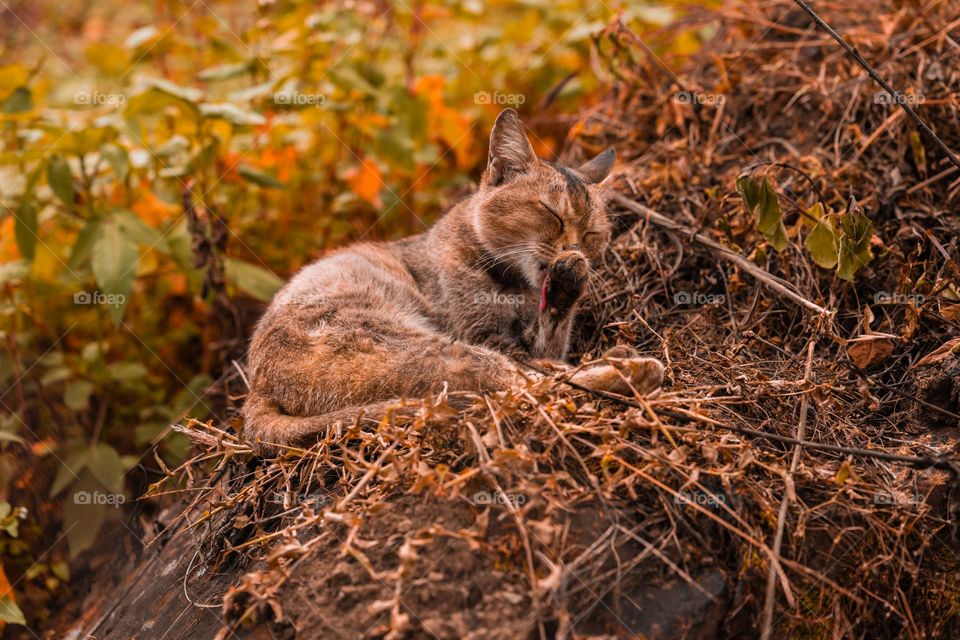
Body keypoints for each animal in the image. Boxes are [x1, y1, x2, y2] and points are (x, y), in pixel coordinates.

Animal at [242, 107, 660, 452]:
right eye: (551, 214)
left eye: (592, 233)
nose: (574, 249)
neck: (516, 287)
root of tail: (255, 392)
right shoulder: (487, 338)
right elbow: (541, 368)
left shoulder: (535, 339)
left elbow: (552, 340)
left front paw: (570, 282)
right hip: (422, 346)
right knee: (525, 387)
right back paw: (635, 369)